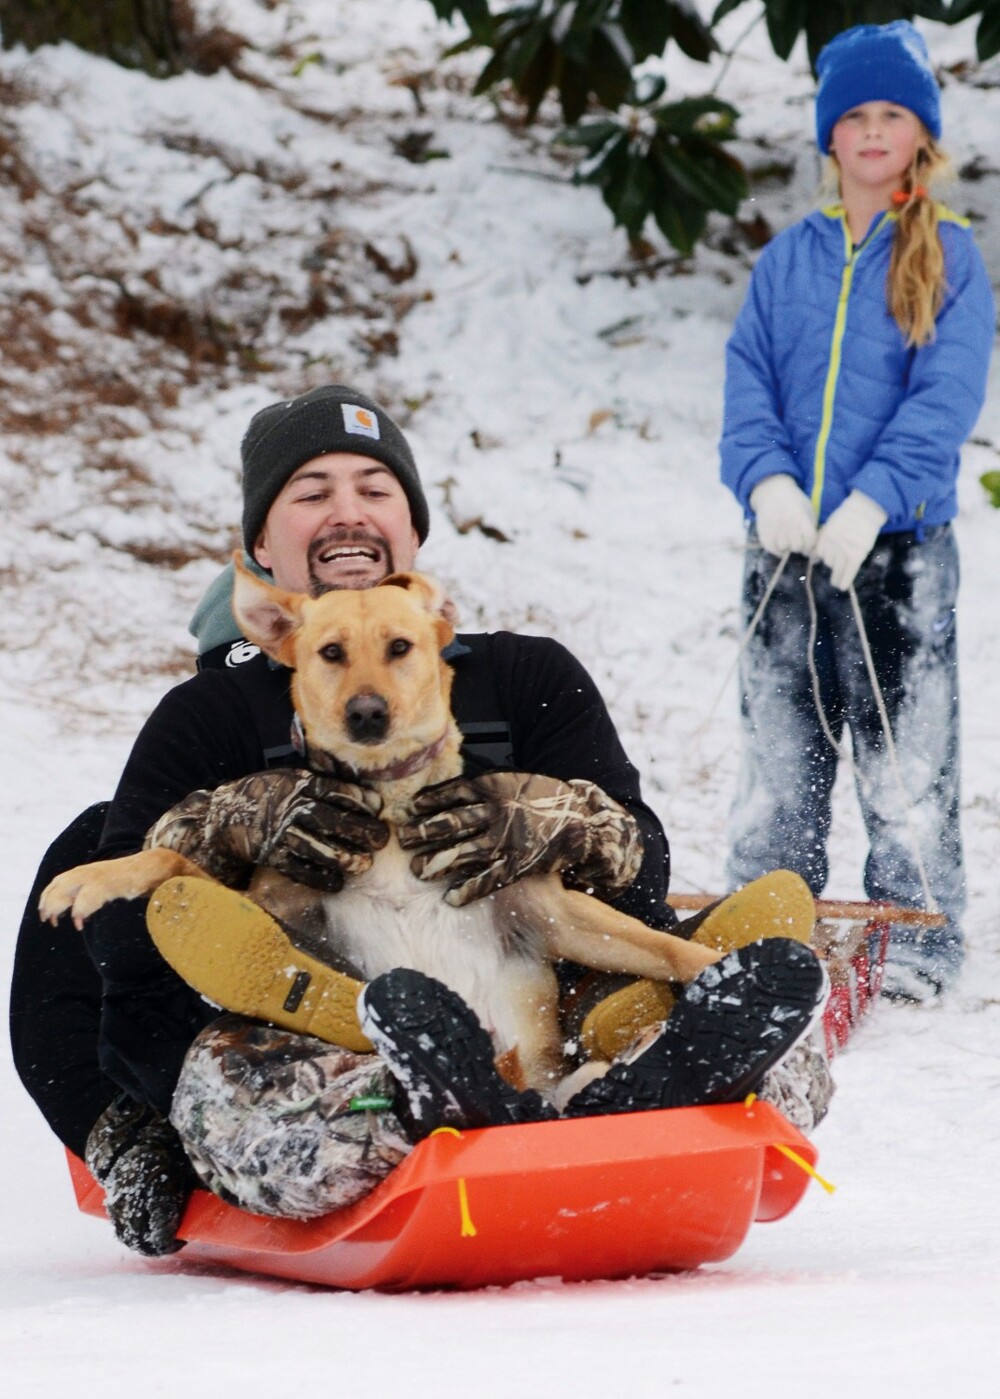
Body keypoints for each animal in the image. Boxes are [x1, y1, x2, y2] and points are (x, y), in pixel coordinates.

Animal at [45, 562, 721, 1096]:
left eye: (399, 647)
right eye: (331, 652)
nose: (367, 713)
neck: (393, 813)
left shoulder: (547, 914)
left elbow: (670, 947)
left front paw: (722, 965)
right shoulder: (278, 905)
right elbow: (172, 861)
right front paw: (97, 878)